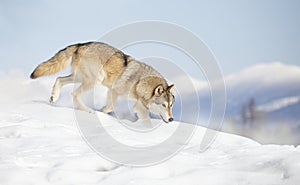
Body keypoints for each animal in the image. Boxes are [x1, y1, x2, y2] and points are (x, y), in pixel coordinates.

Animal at [29, 42, 175, 123]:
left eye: (171, 106)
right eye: (163, 105)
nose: (171, 119)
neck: (139, 82)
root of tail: (81, 44)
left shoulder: (115, 92)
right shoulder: (114, 90)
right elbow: (110, 107)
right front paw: (101, 111)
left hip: (80, 77)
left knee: (59, 79)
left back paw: (54, 97)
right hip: (95, 80)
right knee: (74, 94)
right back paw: (89, 111)